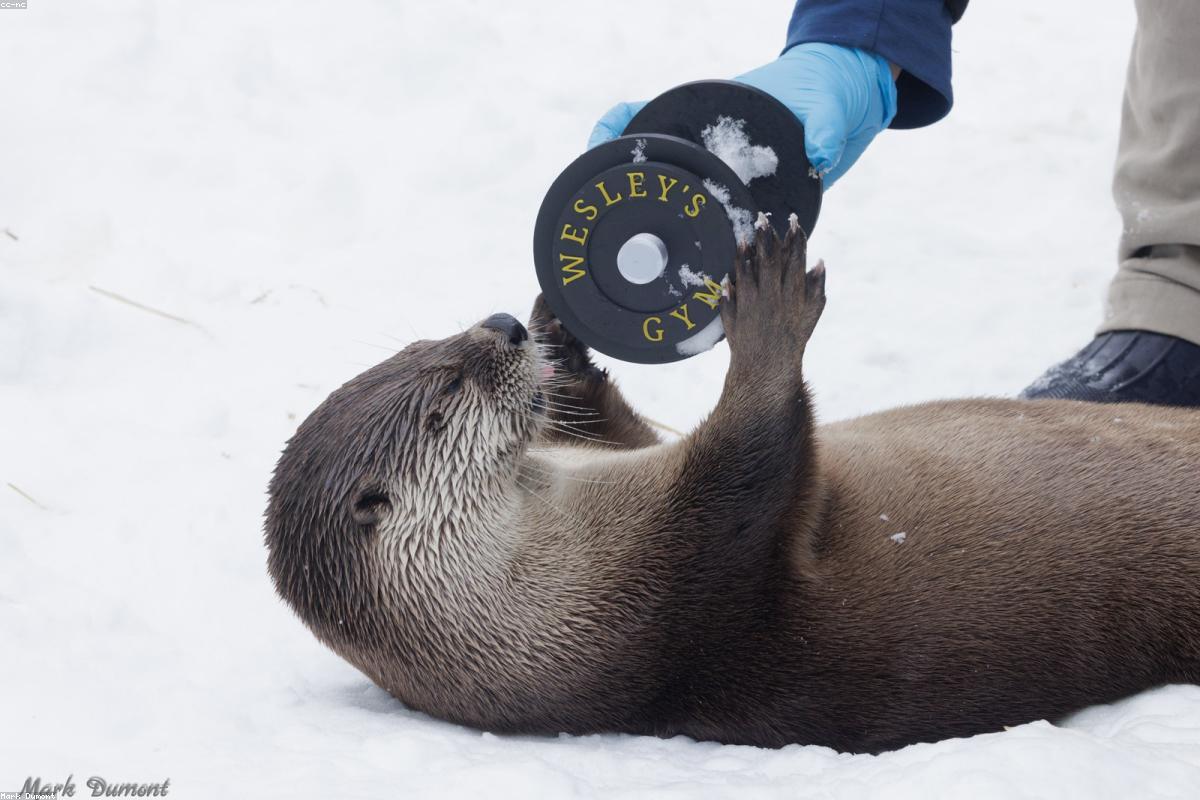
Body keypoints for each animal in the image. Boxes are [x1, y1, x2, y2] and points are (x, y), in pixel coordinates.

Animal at [265, 219, 1200, 753]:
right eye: (445, 396)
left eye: (425, 347)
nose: (499, 326)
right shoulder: (682, 578)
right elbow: (759, 454)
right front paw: (767, 312)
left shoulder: (631, 489)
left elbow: (629, 428)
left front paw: (558, 323)